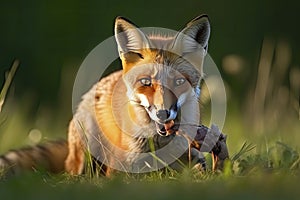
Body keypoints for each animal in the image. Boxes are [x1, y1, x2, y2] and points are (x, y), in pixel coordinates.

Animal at [0, 14, 229, 176]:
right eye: (146, 82)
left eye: (179, 82)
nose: (163, 113)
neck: (158, 144)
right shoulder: (120, 169)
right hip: (86, 145)